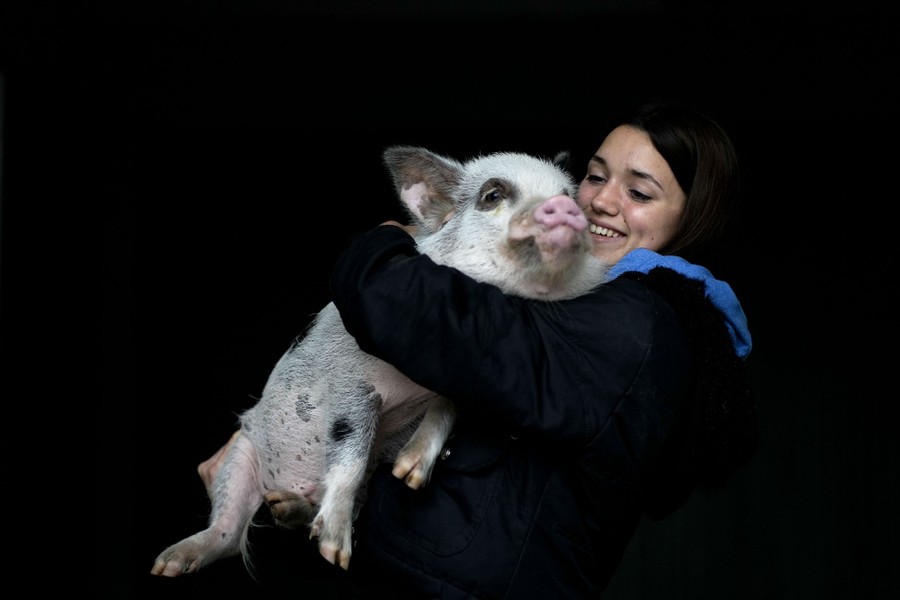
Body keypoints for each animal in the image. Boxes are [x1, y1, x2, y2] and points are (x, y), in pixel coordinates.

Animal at [150, 145, 610, 578]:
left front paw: (409, 475)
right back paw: (169, 563)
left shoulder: (461, 382)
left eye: (568, 194)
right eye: (493, 195)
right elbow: (350, 452)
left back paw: (284, 508)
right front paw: (336, 554)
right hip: (242, 452)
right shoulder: (351, 383)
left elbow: (444, 411)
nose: (565, 208)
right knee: (227, 532)